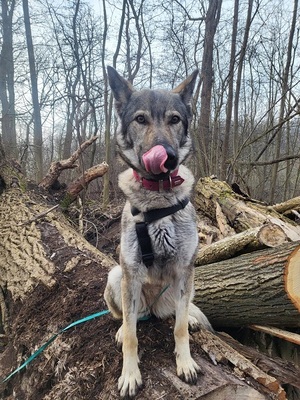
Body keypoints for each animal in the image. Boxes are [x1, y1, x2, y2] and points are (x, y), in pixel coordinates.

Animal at [104, 65, 212, 396]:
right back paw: (122, 327)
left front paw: (185, 362)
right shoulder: (131, 270)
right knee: (128, 319)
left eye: (174, 120)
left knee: (179, 312)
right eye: (141, 120)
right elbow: (132, 336)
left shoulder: (185, 269)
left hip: (182, 287)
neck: (158, 195)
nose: (167, 156)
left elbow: (179, 328)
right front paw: (129, 374)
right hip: (117, 277)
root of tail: (152, 307)